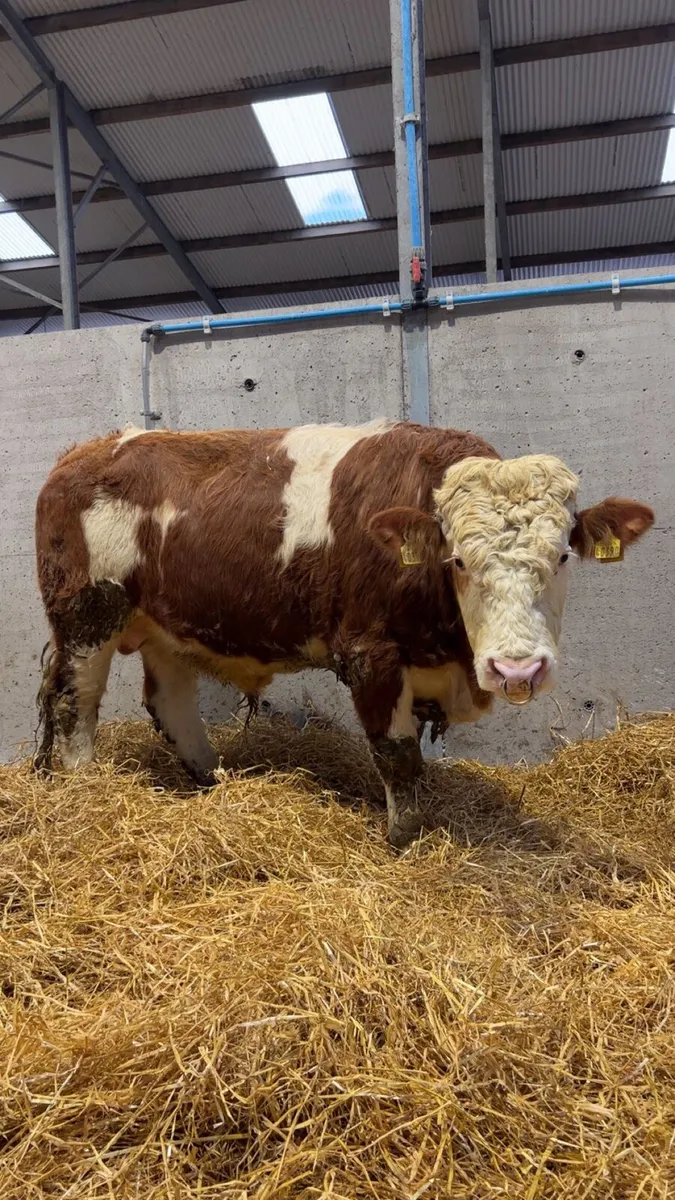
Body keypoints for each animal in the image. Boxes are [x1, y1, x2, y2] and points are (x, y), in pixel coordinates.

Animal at [34, 420, 653, 847]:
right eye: (457, 560)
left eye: (564, 555)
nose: (517, 669)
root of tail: (83, 452)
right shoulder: (370, 654)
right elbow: (397, 753)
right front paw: (405, 838)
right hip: (87, 614)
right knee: (73, 701)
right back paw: (84, 785)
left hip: (166, 628)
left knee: (169, 701)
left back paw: (212, 781)